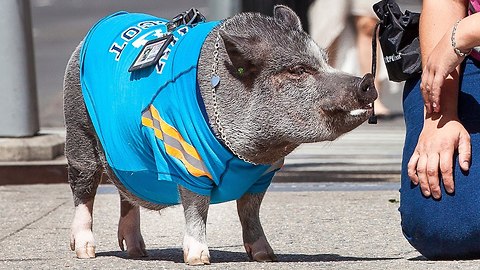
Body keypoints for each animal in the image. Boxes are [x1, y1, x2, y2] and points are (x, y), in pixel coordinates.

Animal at [63, 5, 376, 264]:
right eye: (297, 70)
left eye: (325, 61)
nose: (366, 81)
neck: (248, 155)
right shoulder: (187, 160)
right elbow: (196, 207)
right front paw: (199, 259)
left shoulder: (262, 174)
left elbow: (250, 211)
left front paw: (266, 256)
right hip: (78, 129)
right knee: (84, 187)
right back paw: (85, 252)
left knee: (126, 193)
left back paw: (138, 251)